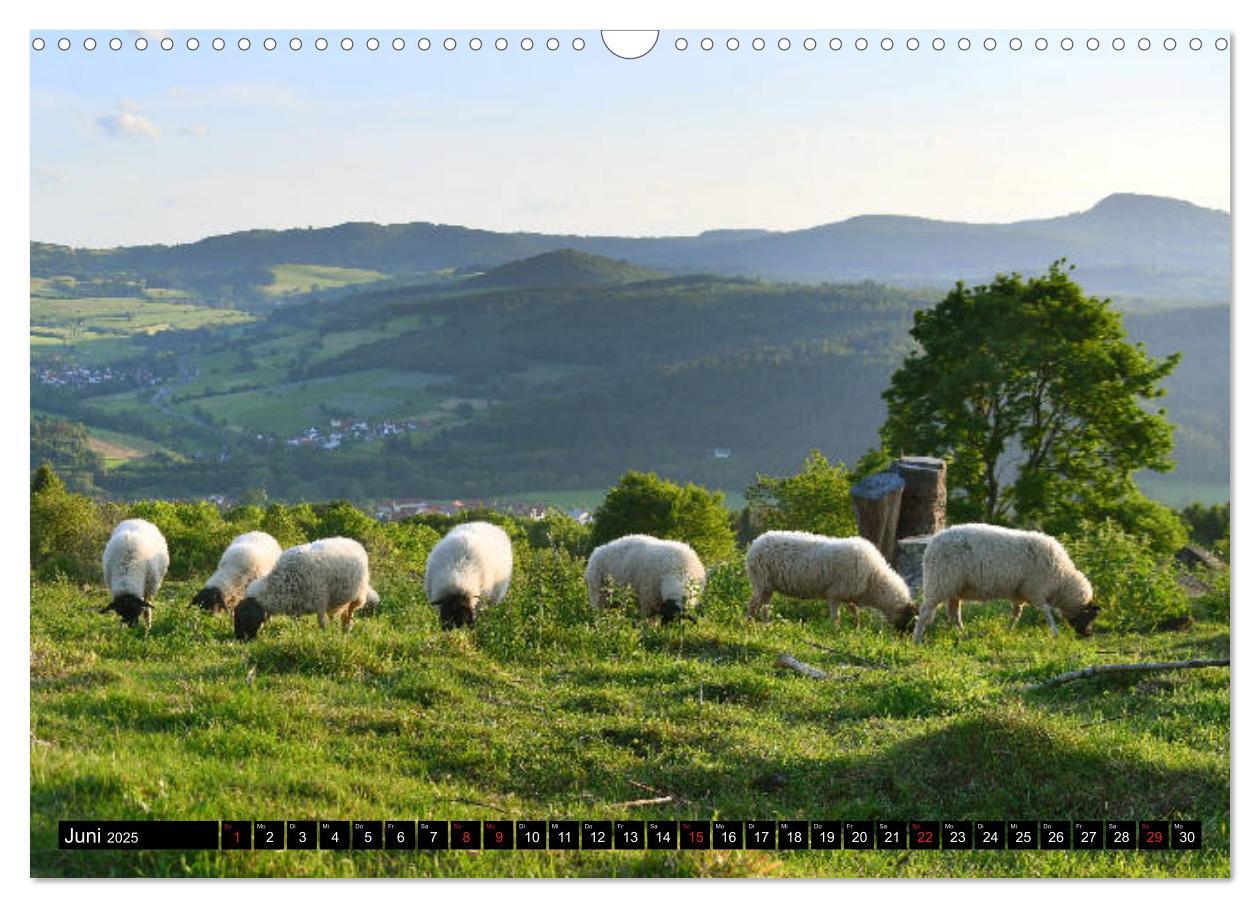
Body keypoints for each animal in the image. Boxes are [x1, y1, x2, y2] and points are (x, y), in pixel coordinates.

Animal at [233, 533, 378, 642]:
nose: (238, 639)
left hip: (358, 594)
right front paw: (298, 633)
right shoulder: (296, 605)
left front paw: (324, 635)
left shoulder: (320, 601)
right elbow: (297, 622)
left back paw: (346, 629)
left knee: (350, 613)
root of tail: (351, 541)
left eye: (244, 617)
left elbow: (321, 623)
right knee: (340, 614)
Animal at [740, 531, 912, 629]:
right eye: (909, 619)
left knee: (765, 606)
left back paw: (766, 624)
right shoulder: (834, 594)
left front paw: (856, 629)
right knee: (753, 604)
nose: (903, 640)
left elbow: (854, 612)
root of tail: (756, 543)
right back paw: (748, 624)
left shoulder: (848, 595)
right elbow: (836, 617)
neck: (873, 578)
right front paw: (836, 632)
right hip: (760, 581)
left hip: (768, 586)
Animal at [912, 521, 1098, 642]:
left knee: (954, 612)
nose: (1088, 635)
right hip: (940, 582)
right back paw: (917, 639)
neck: (1062, 580)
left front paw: (1009, 630)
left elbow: (1016, 613)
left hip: (954, 587)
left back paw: (961, 633)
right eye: (1089, 616)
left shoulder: (1019, 593)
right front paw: (1055, 632)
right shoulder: (1036, 589)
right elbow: (1046, 610)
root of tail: (932, 544)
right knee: (925, 612)